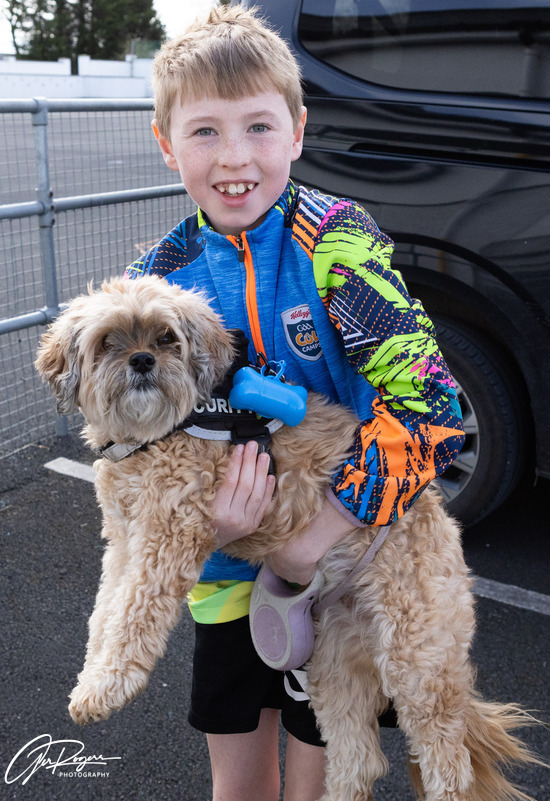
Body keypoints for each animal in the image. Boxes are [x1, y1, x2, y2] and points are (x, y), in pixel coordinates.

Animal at [36, 276, 541, 801]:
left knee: (448, 762)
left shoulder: (167, 537)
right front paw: (90, 678)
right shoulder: (123, 542)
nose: (141, 361)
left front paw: (105, 688)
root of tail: (439, 518)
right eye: (107, 342)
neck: (154, 434)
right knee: (357, 760)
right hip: (333, 661)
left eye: (166, 338)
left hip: (417, 661)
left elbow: (132, 616)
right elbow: (105, 613)